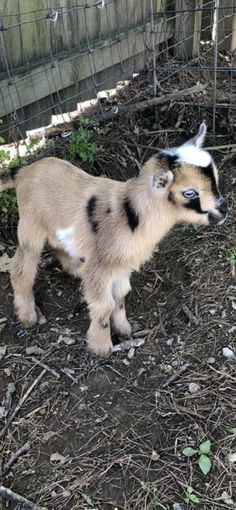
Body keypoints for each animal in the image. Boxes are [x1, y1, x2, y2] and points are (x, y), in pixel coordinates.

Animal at [0, 123, 228, 354]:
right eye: (190, 193)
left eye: (216, 179)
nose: (224, 211)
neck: (130, 215)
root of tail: (23, 171)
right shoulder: (101, 264)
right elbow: (104, 304)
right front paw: (101, 346)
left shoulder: (122, 263)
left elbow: (120, 296)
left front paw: (123, 329)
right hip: (30, 223)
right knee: (21, 267)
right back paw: (27, 316)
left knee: (57, 245)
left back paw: (75, 269)